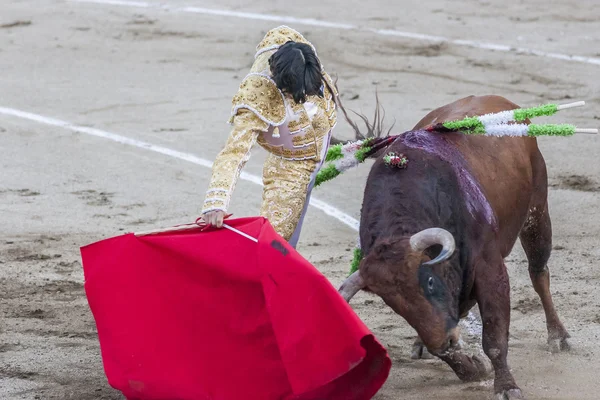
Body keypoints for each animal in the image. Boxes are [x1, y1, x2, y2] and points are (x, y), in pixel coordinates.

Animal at [340, 95, 568, 398]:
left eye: (429, 282)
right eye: (392, 303)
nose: (445, 340)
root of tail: (503, 101)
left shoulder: (489, 267)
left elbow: (494, 336)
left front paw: (506, 386)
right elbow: (446, 341)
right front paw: (471, 368)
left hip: (537, 211)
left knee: (539, 273)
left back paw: (558, 336)